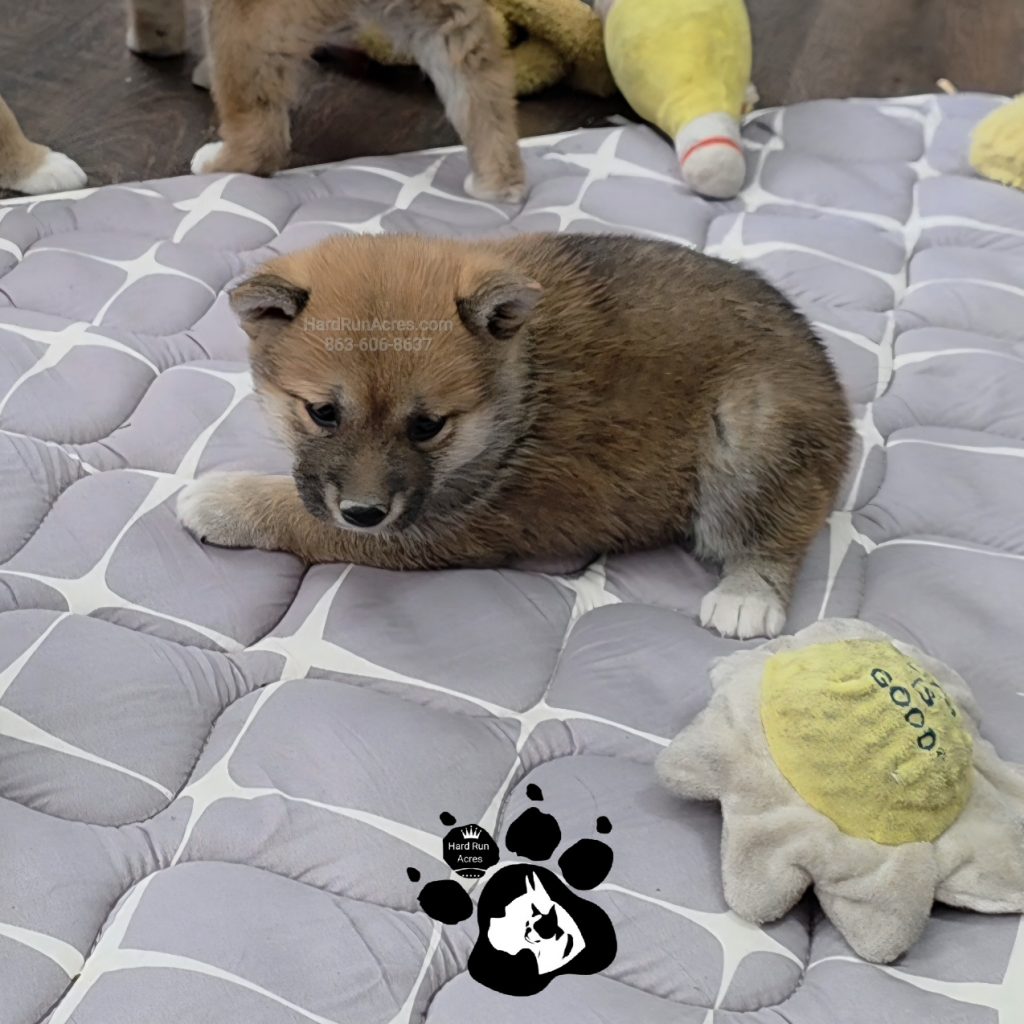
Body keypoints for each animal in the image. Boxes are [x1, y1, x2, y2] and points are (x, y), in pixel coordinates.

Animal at [127, 0, 526, 202]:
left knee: (263, 137)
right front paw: (159, 42)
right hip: (440, 16)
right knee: (480, 80)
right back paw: (497, 183)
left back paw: (219, 164)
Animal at [176, 232, 852, 639]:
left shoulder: (428, 527)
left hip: (752, 435)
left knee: (775, 529)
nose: (365, 513)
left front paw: (223, 501)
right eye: (322, 413)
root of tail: (832, 381)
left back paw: (748, 596)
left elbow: (296, 514)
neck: (515, 394)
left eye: (427, 427)